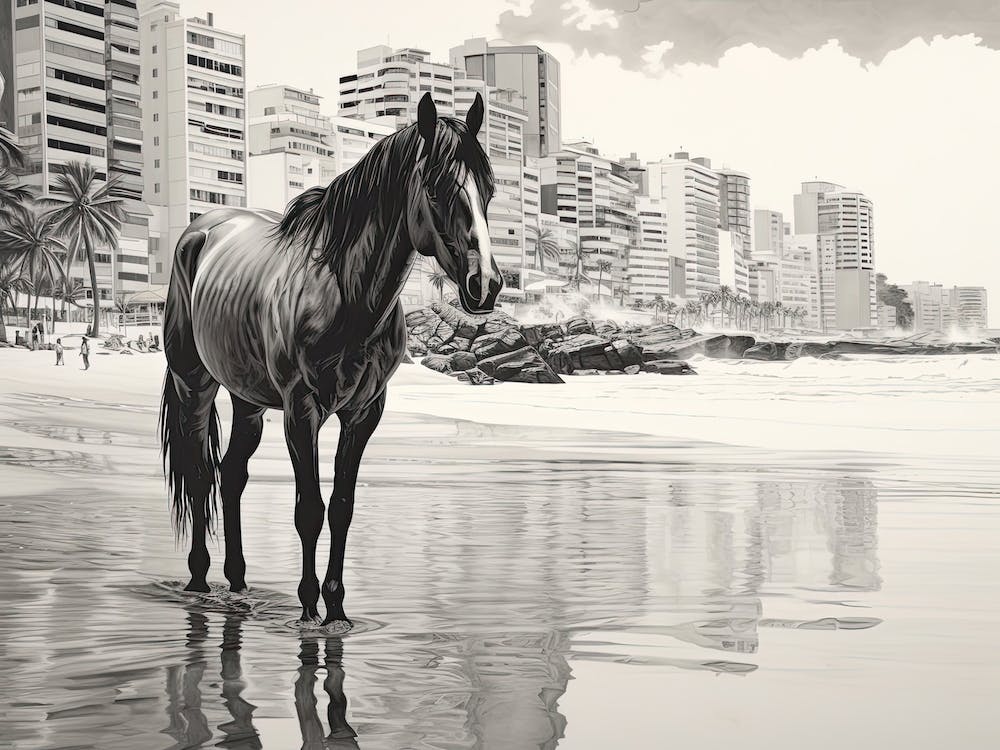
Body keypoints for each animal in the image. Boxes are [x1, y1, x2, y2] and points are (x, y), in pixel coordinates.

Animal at [160, 92, 501, 626]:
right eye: (437, 187)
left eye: (489, 189)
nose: (484, 285)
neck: (346, 293)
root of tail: (202, 229)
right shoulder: (302, 411)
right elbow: (309, 510)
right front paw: (307, 606)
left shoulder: (364, 413)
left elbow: (341, 506)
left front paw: (336, 607)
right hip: (193, 384)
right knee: (199, 476)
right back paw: (198, 579)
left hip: (247, 398)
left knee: (231, 476)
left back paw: (238, 582)